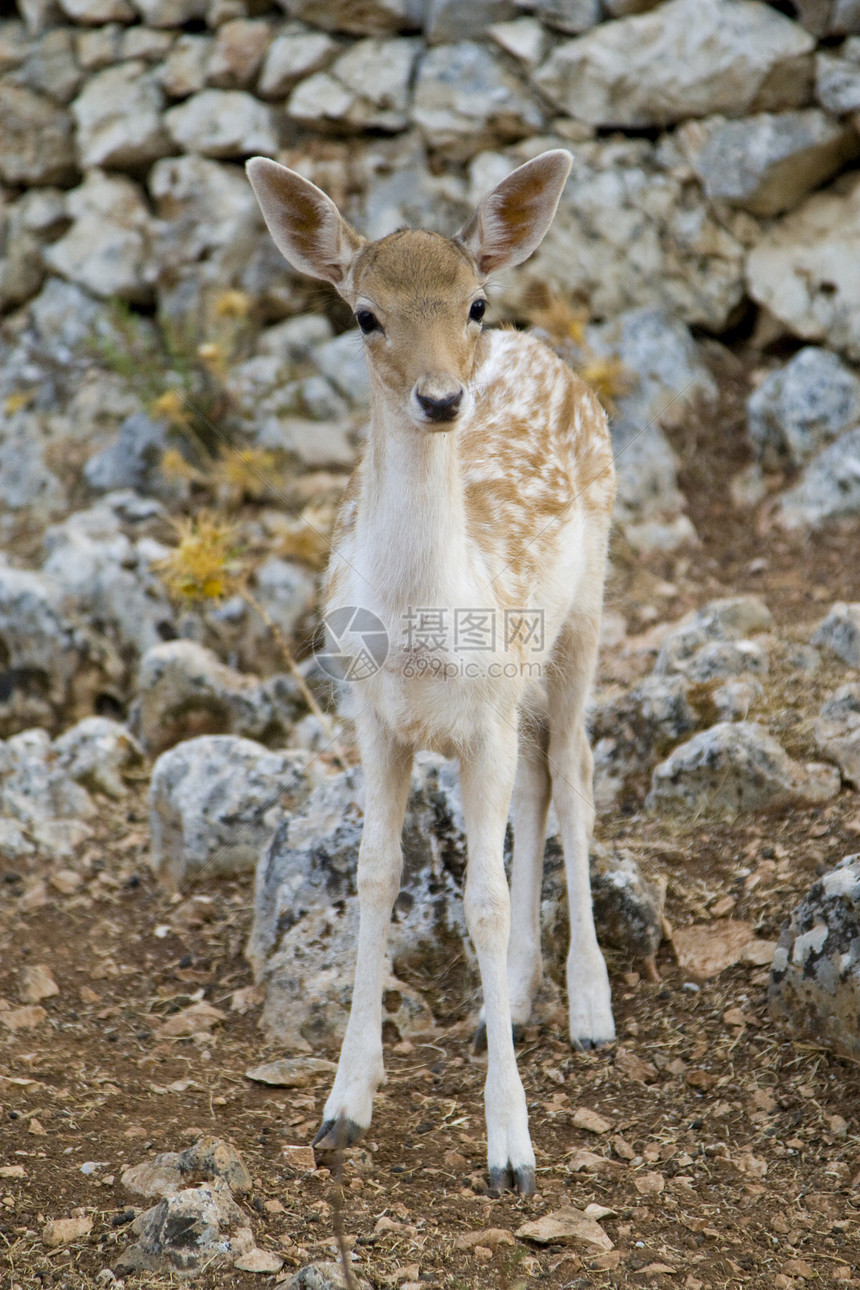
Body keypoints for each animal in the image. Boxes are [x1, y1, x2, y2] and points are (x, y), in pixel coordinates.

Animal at [244, 153, 616, 1197]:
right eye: (366, 314)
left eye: (473, 302)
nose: (445, 399)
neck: (419, 625)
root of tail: (546, 353)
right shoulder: (373, 713)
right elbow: (375, 875)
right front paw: (344, 1105)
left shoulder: (482, 711)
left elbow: (481, 900)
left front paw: (511, 1152)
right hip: (512, 684)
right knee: (536, 781)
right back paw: (514, 1004)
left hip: (587, 608)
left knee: (572, 770)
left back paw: (588, 1010)